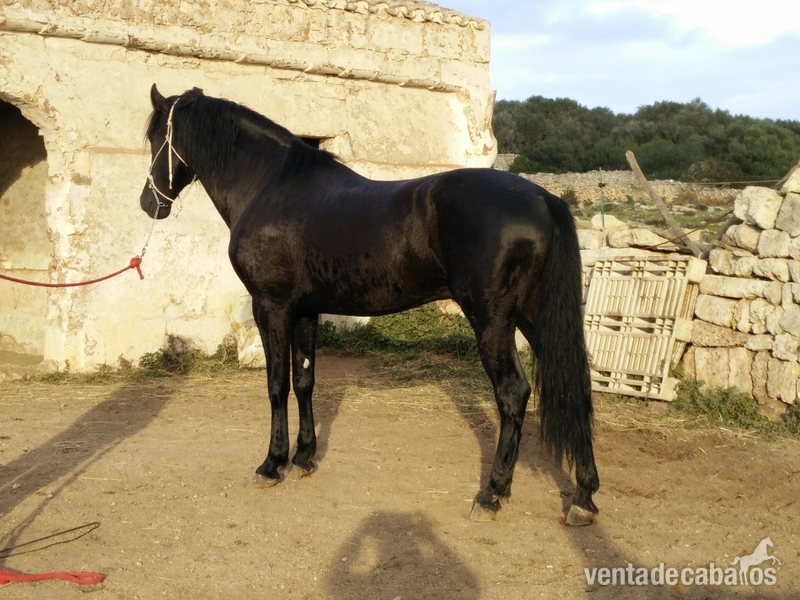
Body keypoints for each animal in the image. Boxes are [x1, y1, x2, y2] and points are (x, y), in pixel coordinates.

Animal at [139, 85, 599, 525]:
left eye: (155, 138)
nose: (149, 203)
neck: (271, 187)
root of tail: (544, 199)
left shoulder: (271, 306)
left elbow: (276, 385)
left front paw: (271, 464)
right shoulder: (305, 310)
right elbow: (304, 380)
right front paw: (304, 457)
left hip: (492, 321)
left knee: (512, 393)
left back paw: (492, 494)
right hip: (532, 317)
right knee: (574, 386)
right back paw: (583, 497)